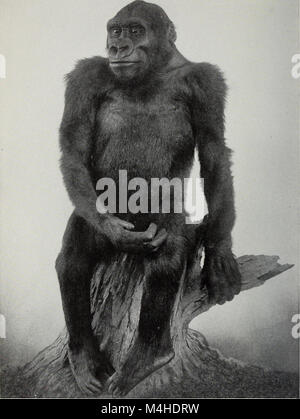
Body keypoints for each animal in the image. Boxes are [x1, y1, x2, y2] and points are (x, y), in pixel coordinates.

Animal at [55, 0, 240, 398]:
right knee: (73, 261)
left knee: (167, 254)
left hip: (163, 222)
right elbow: (74, 144)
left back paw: (148, 357)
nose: (117, 47)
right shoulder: (86, 77)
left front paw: (219, 249)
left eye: (135, 30)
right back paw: (86, 359)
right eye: (115, 31)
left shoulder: (206, 82)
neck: (156, 69)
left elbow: (214, 151)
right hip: (95, 218)